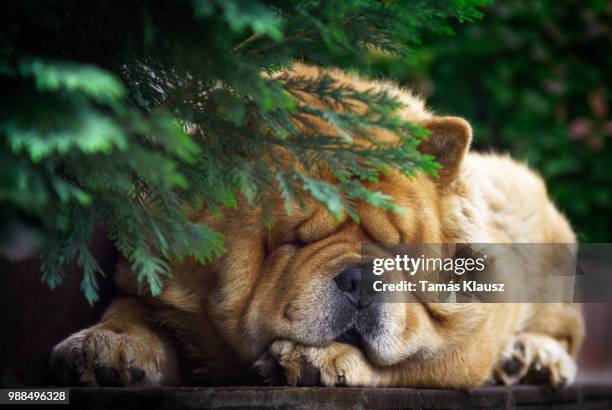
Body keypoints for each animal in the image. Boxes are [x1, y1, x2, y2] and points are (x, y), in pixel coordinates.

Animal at [49, 63, 584, 388]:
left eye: (397, 253)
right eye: (293, 240)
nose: (364, 278)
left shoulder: (469, 338)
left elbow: (414, 360)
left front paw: (319, 361)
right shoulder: (154, 284)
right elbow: (131, 312)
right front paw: (106, 347)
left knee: (565, 332)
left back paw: (533, 358)